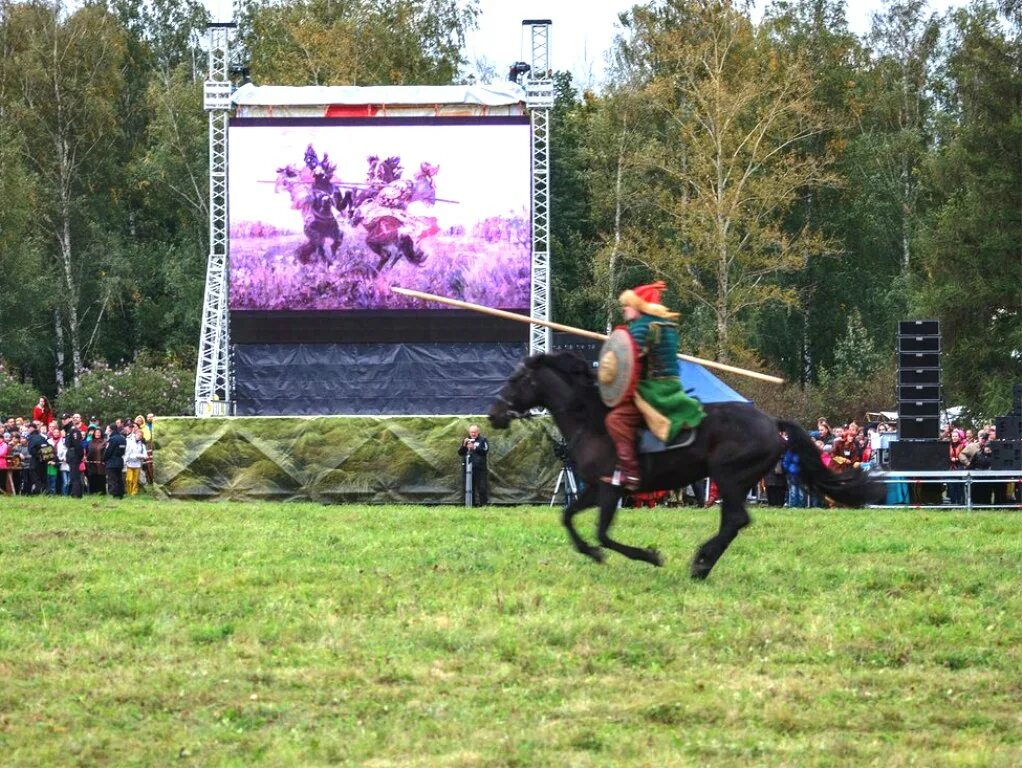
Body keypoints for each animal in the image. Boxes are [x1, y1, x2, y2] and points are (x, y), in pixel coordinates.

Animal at [488, 353, 887, 580]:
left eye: (516, 380)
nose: (493, 414)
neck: (592, 420)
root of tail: (771, 422)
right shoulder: (595, 487)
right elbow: (568, 517)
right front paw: (592, 553)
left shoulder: (612, 488)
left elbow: (602, 532)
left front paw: (648, 556)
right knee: (733, 522)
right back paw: (703, 564)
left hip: (730, 476)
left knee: (735, 520)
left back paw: (700, 563)